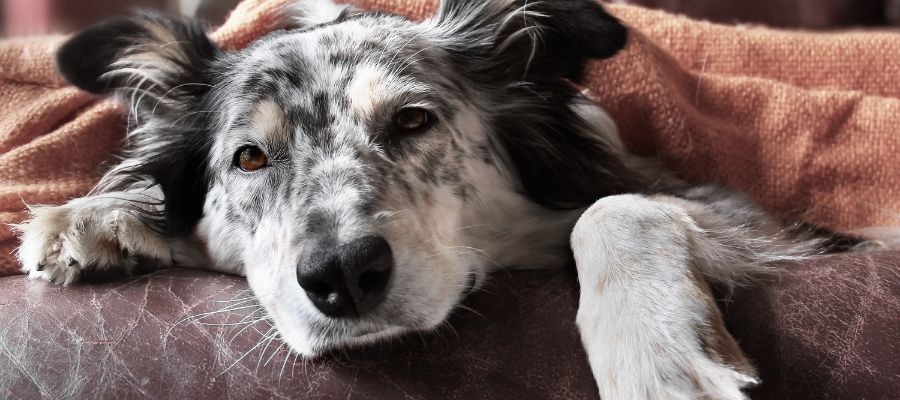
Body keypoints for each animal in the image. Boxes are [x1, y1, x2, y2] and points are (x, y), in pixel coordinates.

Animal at [12, 0, 872, 398]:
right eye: (250, 158)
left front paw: (656, 359)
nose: (343, 276)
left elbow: (616, 206)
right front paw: (95, 217)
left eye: (413, 120)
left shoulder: (734, 208)